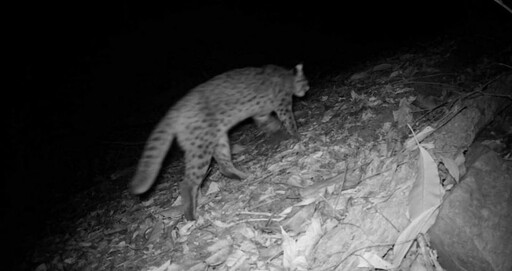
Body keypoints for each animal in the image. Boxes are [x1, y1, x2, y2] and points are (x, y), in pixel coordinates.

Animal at [130, 63, 310, 221]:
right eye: (305, 81)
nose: (308, 88)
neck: (285, 76)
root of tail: (174, 109)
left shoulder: (261, 114)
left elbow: (273, 124)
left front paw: (279, 132)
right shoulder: (282, 106)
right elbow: (289, 122)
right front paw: (296, 136)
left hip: (220, 141)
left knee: (224, 166)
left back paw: (244, 176)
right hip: (201, 149)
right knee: (187, 183)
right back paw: (191, 216)